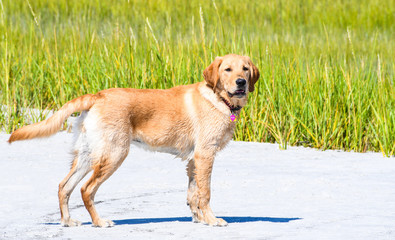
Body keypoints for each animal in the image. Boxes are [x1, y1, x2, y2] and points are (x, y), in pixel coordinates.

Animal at [8, 54, 260, 227]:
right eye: (227, 69)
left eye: (245, 69)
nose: (241, 82)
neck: (219, 99)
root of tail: (97, 96)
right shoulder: (205, 155)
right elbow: (205, 193)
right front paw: (212, 220)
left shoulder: (192, 160)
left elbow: (192, 194)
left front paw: (199, 219)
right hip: (114, 154)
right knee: (86, 189)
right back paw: (100, 222)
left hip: (89, 154)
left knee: (64, 186)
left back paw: (68, 221)